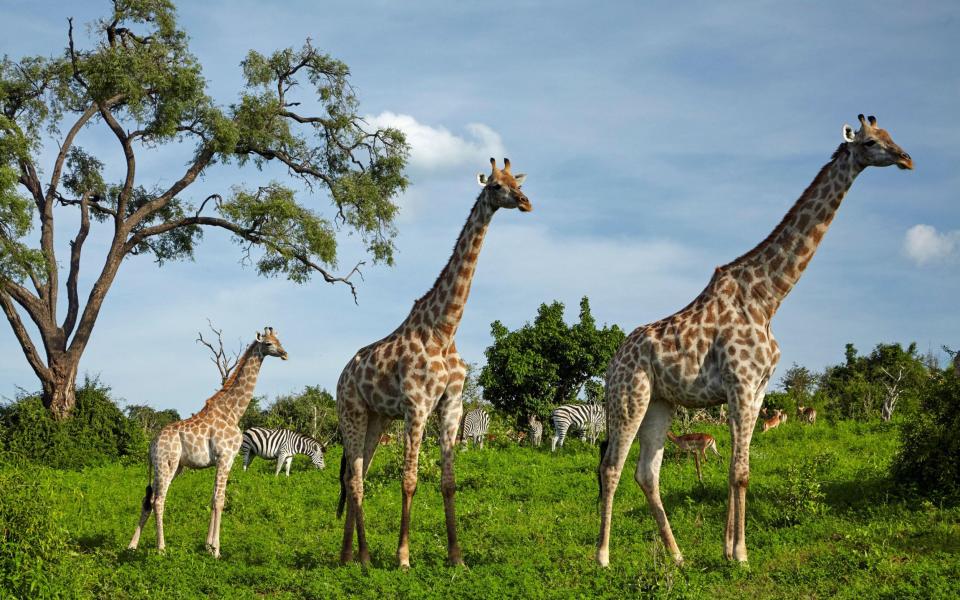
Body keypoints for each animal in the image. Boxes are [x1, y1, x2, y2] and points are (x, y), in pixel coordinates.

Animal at [126, 328, 288, 556]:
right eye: (268, 344)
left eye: (279, 340)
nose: (284, 353)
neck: (233, 412)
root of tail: (151, 444)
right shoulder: (226, 457)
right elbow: (220, 501)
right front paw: (216, 550)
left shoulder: (220, 460)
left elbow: (212, 500)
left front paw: (208, 546)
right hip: (167, 463)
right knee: (158, 500)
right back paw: (161, 548)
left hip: (169, 467)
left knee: (147, 499)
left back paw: (132, 546)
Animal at [336, 158, 532, 568]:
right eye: (495, 185)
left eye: (517, 181)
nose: (525, 202)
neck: (444, 328)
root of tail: (341, 377)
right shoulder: (417, 404)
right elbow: (409, 479)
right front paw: (403, 557)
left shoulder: (451, 404)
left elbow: (448, 481)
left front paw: (456, 556)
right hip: (352, 412)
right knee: (356, 479)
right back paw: (364, 557)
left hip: (377, 419)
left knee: (356, 474)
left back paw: (349, 555)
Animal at [592, 113, 916, 568]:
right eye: (871, 142)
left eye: (890, 135)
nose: (906, 159)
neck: (769, 297)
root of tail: (611, 362)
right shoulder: (741, 384)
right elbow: (740, 471)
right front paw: (741, 554)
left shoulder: (758, 389)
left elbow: (737, 469)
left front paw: (728, 549)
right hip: (628, 397)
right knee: (611, 467)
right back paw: (603, 557)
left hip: (660, 402)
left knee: (646, 473)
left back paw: (677, 555)